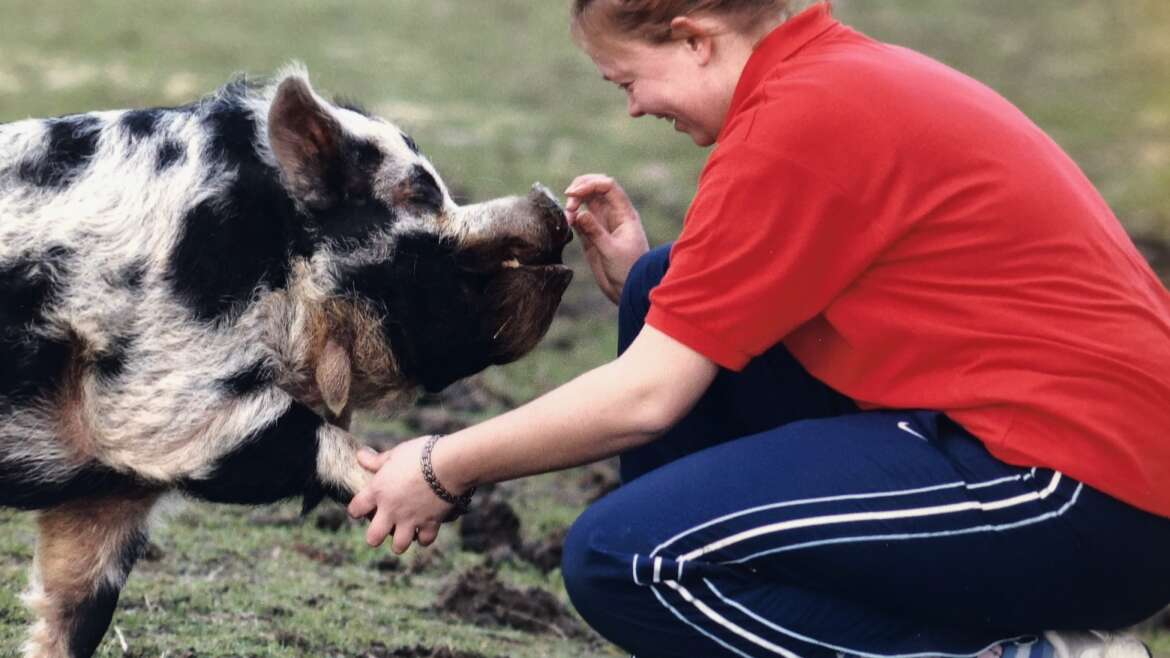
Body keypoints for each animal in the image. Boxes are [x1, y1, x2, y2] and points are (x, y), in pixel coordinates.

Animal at [0, 67, 570, 655]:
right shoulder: (157, 396)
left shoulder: (107, 492)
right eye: (419, 191)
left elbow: (76, 608)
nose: (551, 202)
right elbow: (296, 432)